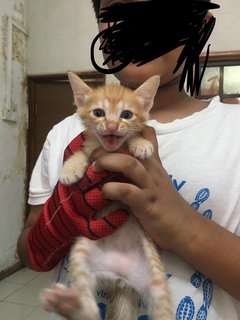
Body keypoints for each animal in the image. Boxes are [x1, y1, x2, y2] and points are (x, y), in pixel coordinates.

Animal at [41, 72, 172, 320]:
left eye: (126, 115)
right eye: (98, 113)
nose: (111, 125)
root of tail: (120, 280)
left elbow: (133, 138)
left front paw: (140, 143)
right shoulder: (89, 147)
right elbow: (81, 153)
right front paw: (70, 169)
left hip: (156, 277)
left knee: (163, 310)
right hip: (82, 253)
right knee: (89, 310)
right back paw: (68, 304)